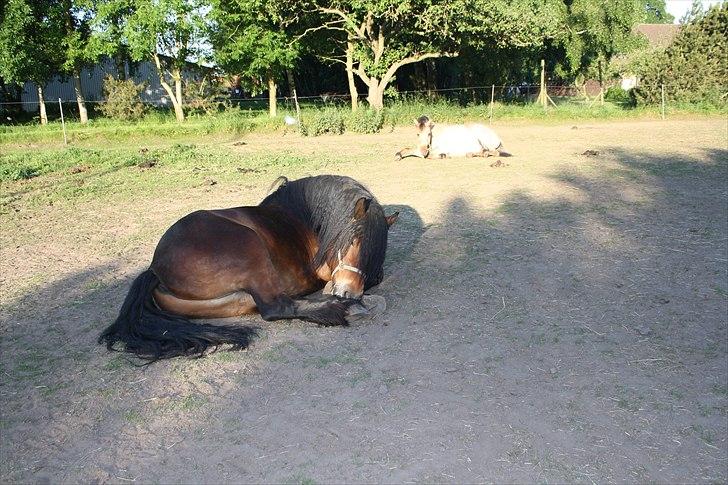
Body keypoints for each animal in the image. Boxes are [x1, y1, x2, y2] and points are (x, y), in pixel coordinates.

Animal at [98, 174, 398, 360]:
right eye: (352, 241)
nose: (351, 292)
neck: (305, 219)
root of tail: (154, 268)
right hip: (250, 246)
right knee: (275, 308)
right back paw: (343, 309)